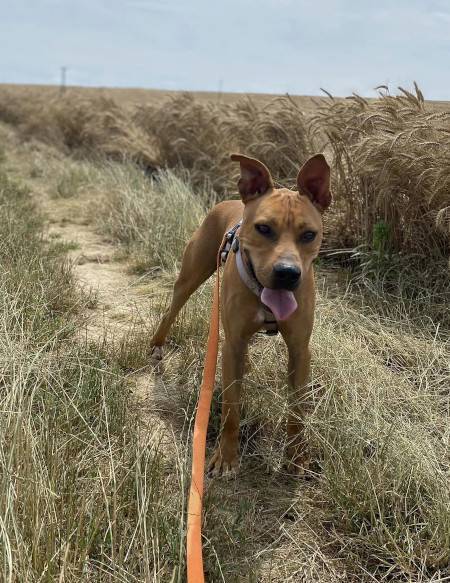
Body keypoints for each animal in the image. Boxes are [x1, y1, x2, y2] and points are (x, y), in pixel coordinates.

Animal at [150, 153, 332, 475]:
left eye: (309, 234)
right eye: (264, 228)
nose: (287, 273)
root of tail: (230, 201)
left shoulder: (300, 350)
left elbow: (297, 410)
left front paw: (296, 457)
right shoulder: (232, 343)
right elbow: (231, 408)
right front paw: (226, 457)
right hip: (190, 276)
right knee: (172, 309)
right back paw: (158, 344)